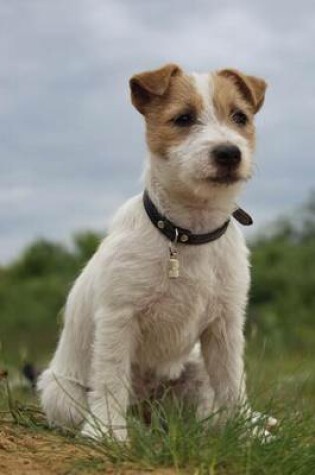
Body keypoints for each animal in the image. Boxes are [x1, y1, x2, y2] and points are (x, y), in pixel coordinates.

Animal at [37, 64, 276, 442]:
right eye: (183, 118)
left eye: (240, 117)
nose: (228, 153)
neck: (189, 233)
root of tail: (150, 414)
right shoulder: (119, 319)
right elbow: (110, 380)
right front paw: (109, 433)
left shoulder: (224, 326)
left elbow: (232, 382)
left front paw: (246, 433)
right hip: (60, 393)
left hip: (196, 368)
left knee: (209, 410)